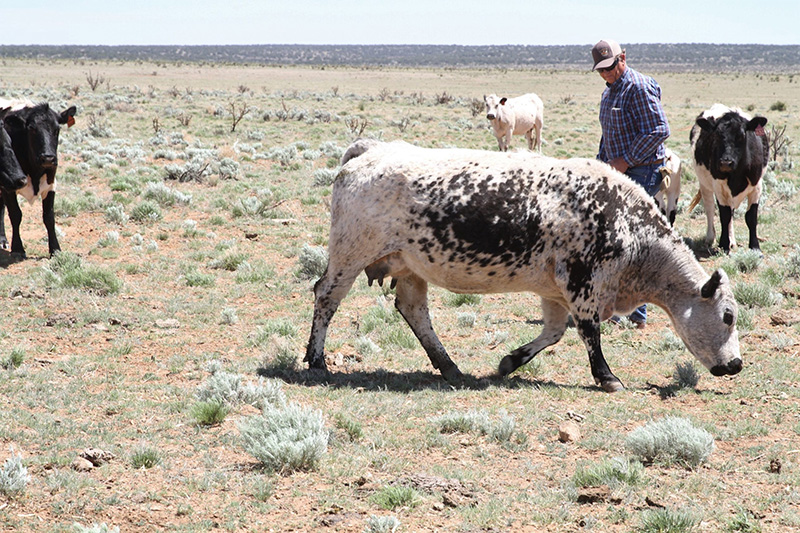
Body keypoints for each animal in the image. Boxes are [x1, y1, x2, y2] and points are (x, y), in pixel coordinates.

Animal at [0, 100, 77, 257]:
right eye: (32, 129)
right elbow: (15, 214)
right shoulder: (9, 186)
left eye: (56, 129)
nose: (48, 158)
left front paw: (55, 249)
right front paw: (17, 248)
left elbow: (49, 217)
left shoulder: (51, 185)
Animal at [305, 140, 742, 392]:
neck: (626, 222)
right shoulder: (583, 284)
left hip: (410, 268)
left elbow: (553, 332)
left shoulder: (556, 292)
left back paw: (449, 367)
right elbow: (589, 334)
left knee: (414, 311)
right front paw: (607, 377)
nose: (736, 364)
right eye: (728, 316)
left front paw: (510, 362)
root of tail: (370, 151)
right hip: (350, 255)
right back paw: (316, 360)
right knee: (325, 297)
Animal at [690, 104, 768, 253]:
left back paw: (732, 241)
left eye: (742, 135)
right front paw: (724, 245)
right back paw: (711, 238)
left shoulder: (757, 186)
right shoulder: (719, 187)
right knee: (710, 208)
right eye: (717, 135)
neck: (737, 174)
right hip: (704, 183)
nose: (726, 163)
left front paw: (755, 247)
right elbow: (724, 216)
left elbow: (751, 217)